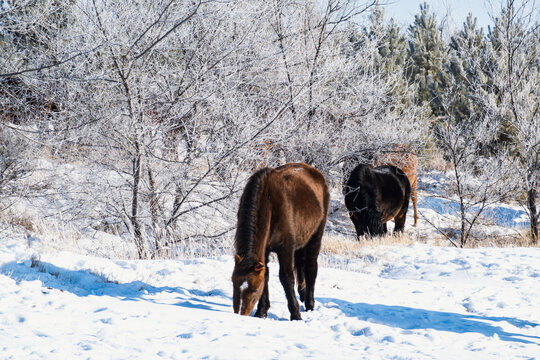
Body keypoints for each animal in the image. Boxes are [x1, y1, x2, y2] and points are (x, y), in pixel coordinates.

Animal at [231, 163, 330, 320]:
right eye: (233, 283)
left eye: (254, 290)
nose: (240, 314)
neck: (269, 201)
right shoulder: (265, 250)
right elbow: (266, 275)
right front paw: (261, 312)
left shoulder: (285, 248)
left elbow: (286, 277)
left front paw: (295, 314)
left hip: (315, 237)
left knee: (311, 268)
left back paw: (309, 304)